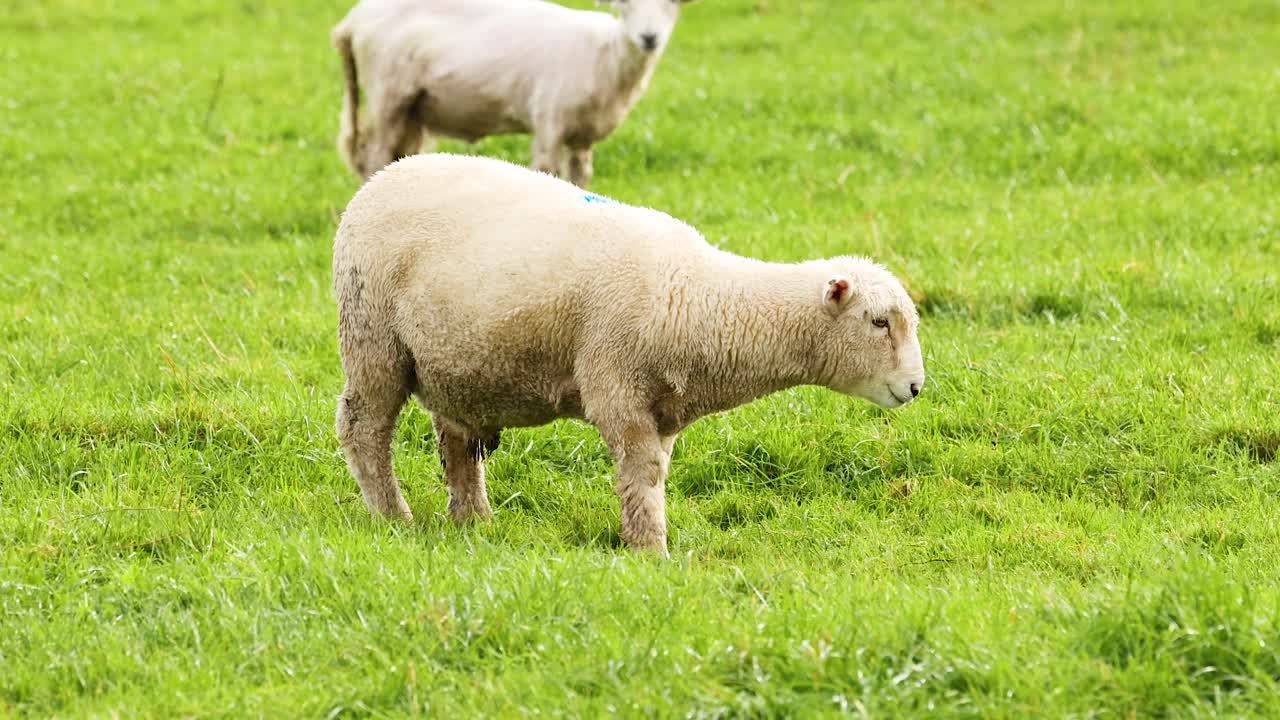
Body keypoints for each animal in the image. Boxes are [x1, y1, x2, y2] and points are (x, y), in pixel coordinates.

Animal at [331, 0, 699, 187]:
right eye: (625, 6)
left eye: (671, 6)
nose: (649, 37)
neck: (606, 52)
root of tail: (351, 21)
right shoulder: (550, 117)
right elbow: (549, 171)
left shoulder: (581, 136)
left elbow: (580, 177)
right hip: (387, 93)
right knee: (374, 155)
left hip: (410, 110)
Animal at [332, 153, 926, 553]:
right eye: (879, 322)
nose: (917, 387)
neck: (703, 301)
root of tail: (382, 177)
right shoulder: (618, 390)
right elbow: (641, 477)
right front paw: (651, 553)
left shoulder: (662, 410)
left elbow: (655, 475)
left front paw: (650, 541)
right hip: (373, 340)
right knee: (363, 430)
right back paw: (393, 517)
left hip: (456, 364)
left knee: (457, 445)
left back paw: (475, 521)